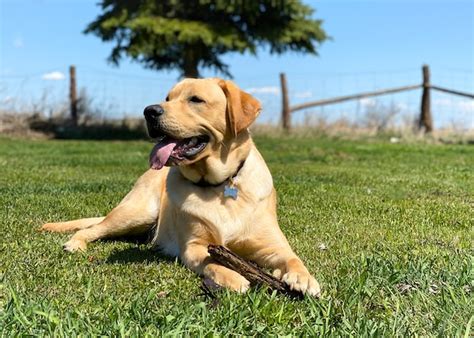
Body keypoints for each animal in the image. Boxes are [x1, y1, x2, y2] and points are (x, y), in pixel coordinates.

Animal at [40, 77, 320, 296]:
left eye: (196, 100)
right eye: (168, 97)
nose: (149, 111)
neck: (219, 185)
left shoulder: (272, 245)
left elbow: (293, 257)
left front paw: (304, 278)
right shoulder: (194, 247)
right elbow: (213, 263)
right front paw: (234, 277)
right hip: (137, 213)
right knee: (91, 228)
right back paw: (75, 243)